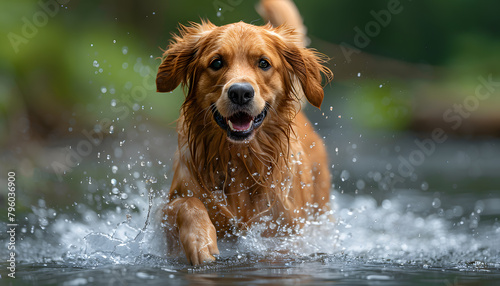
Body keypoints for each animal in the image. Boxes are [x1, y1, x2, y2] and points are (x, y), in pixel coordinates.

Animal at [156, 0, 334, 264]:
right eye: (217, 62)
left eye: (264, 63)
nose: (240, 92)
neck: (239, 161)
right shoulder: (169, 209)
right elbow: (187, 204)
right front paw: (201, 240)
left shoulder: (286, 232)